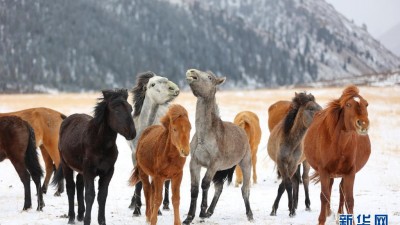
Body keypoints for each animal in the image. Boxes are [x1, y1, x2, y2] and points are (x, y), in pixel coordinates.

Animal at [51, 89, 137, 224]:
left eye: (130, 108)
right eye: (115, 109)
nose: (132, 132)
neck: (100, 145)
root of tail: (66, 121)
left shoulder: (108, 172)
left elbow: (102, 196)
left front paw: (101, 221)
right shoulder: (89, 171)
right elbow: (90, 195)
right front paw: (87, 220)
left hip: (81, 170)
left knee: (79, 185)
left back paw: (80, 215)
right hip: (66, 165)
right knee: (71, 188)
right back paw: (71, 217)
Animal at [128, 71, 180, 215]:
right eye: (152, 84)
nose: (174, 88)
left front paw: (156, 209)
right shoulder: (135, 156)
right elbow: (139, 182)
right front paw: (137, 209)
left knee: (166, 181)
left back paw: (165, 204)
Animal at [182, 69, 253, 224]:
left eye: (209, 77)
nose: (191, 72)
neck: (204, 136)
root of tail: (242, 130)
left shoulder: (213, 164)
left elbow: (204, 184)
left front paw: (202, 212)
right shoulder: (194, 163)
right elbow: (194, 189)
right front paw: (189, 217)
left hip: (245, 164)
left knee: (245, 190)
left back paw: (250, 214)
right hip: (222, 169)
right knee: (219, 188)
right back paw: (210, 211)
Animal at [304, 85, 372, 225]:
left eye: (366, 104)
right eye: (348, 104)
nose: (363, 124)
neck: (338, 145)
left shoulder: (350, 172)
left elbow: (349, 199)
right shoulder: (324, 171)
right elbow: (324, 196)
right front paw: (322, 219)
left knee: (341, 190)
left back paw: (340, 214)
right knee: (330, 190)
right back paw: (329, 212)